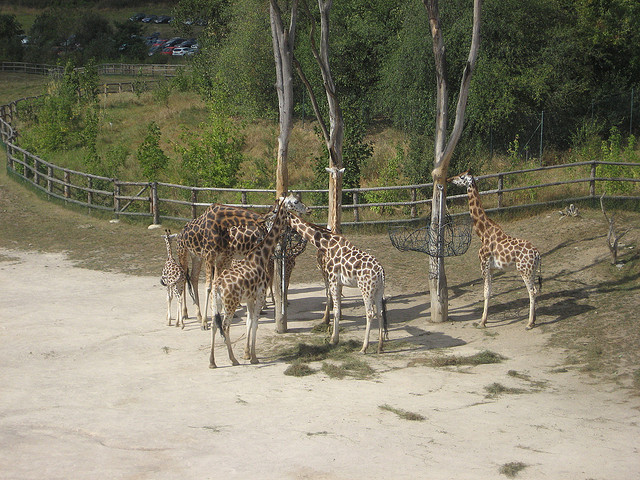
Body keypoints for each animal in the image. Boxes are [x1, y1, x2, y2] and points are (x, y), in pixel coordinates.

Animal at [209, 198, 289, 367]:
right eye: (294, 203)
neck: (261, 255)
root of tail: (217, 286)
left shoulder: (250, 298)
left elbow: (249, 322)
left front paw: (248, 354)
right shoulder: (260, 295)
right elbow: (256, 323)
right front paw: (253, 357)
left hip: (216, 303)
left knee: (214, 325)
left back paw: (212, 362)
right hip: (230, 304)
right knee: (225, 326)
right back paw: (233, 359)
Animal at [288, 213, 388, 354]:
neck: (327, 245)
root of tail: (380, 271)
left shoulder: (333, 280)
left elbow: (335, 310)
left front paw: (333, 340)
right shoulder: (339, 283)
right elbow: (337, 307)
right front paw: (334, 337)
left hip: (366, 289)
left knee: (370, 313)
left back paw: (364, 348)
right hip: (379, 289)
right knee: (380, 313)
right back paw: (380, 346)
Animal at [448, 171, 542, 329]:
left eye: (461, 177)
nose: (449, 179)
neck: (482, 232)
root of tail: (537, 254)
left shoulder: (484, 265)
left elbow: (486, 292)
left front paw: (482, 321)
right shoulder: (492, 268)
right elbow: (489, 291)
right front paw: (484, 320)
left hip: (525, 270)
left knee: (532, 291)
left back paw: (529, 323)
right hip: (532, 271)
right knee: (534, 290)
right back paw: (533, 320)